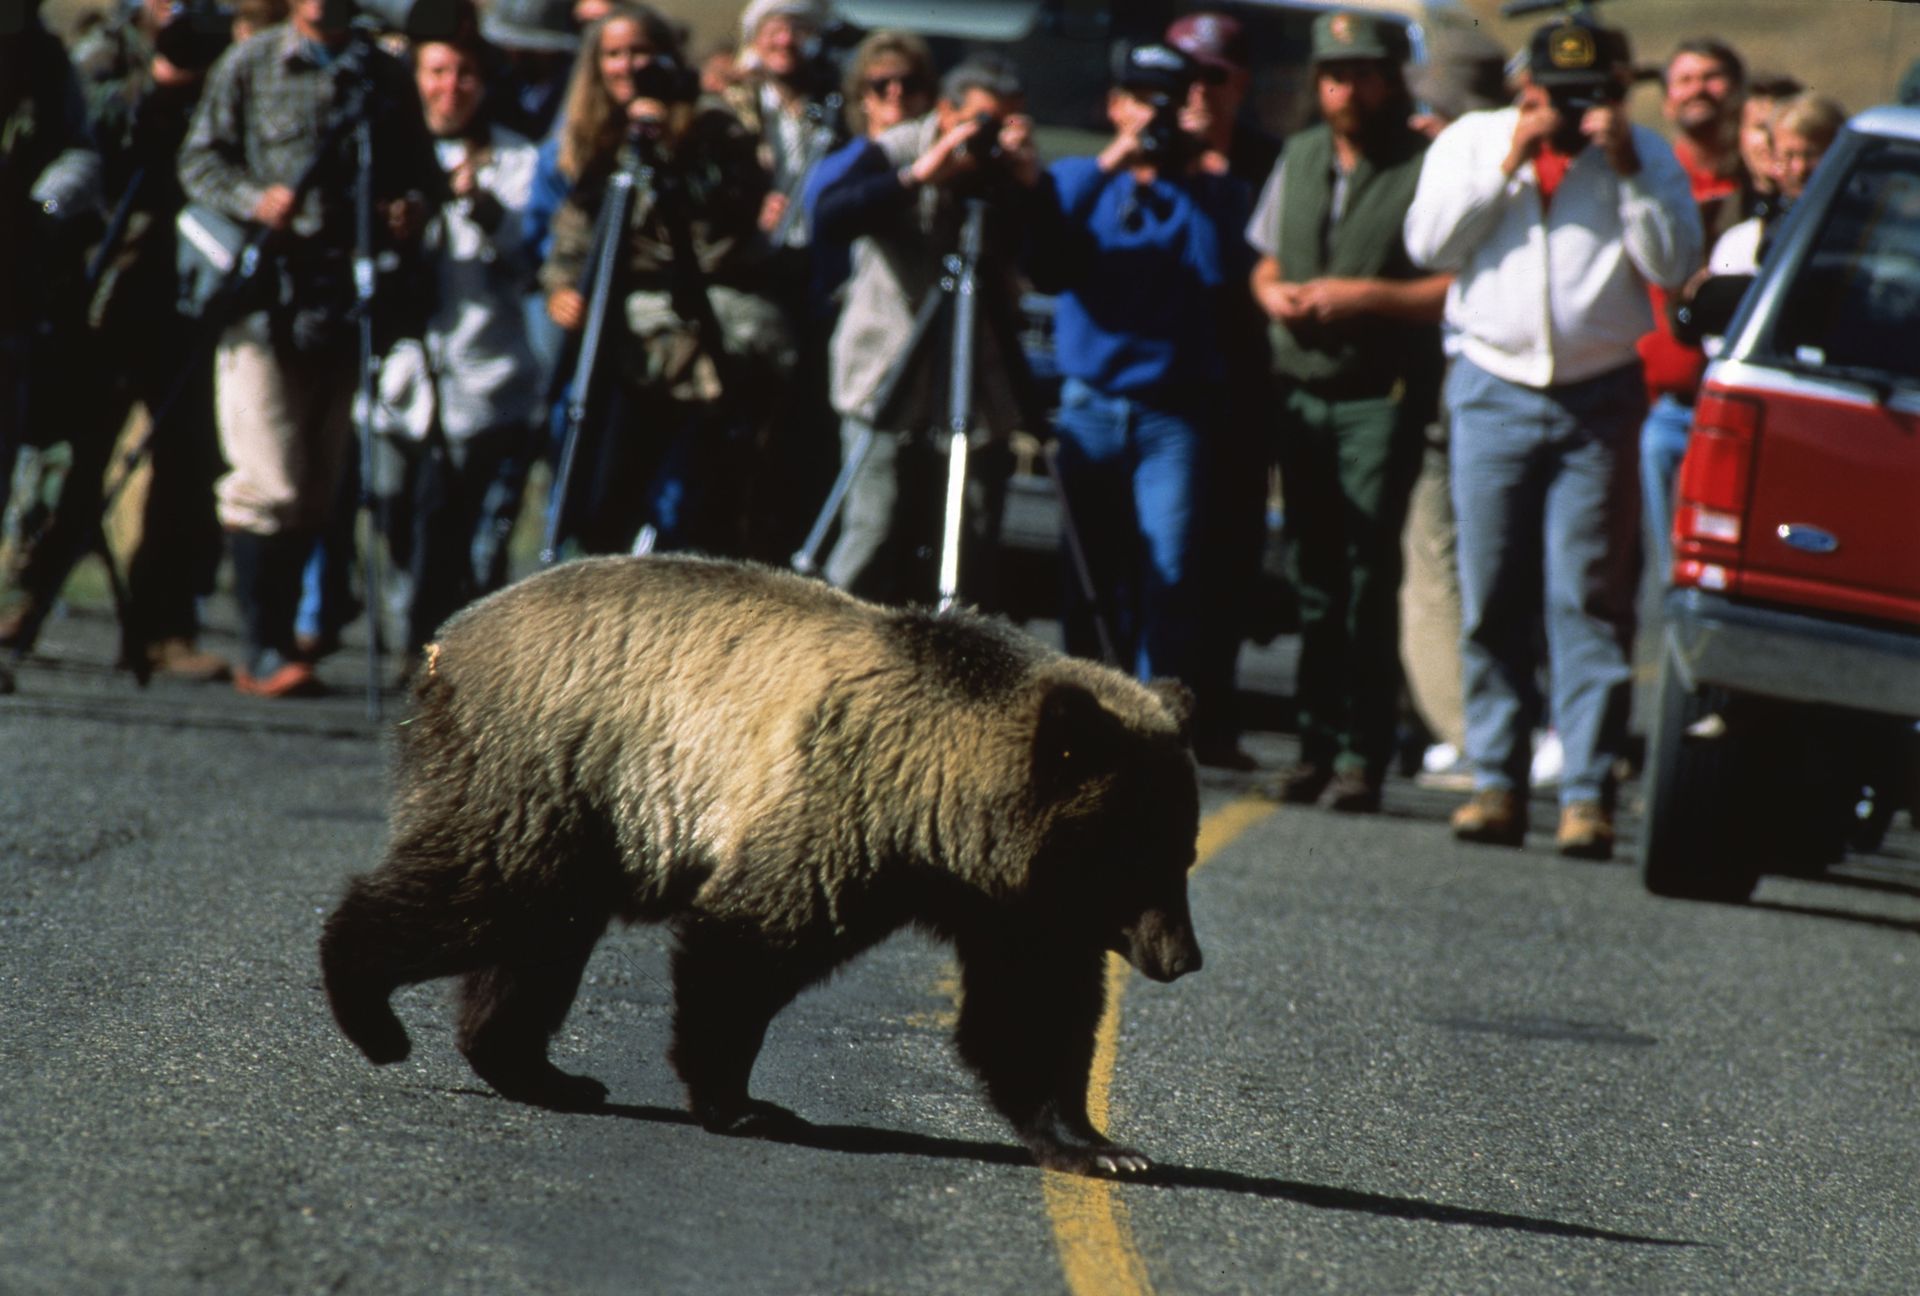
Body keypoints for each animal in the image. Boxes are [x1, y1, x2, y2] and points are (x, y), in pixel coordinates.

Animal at [319, 554, 1202, 1176]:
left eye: (1181, 850)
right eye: (1139, 855)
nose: (1183, 958)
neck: (939, 812)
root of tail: (448, 639)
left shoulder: (1009, 904)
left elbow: (1031, 1006)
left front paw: (1101, 1145)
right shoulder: (838, 802)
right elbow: (746, 944)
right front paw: (743, 1104)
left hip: (574, 812)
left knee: (539, 934)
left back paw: (538, 1070)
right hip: (546, 761)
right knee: (483, 889)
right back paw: (369, 1009)